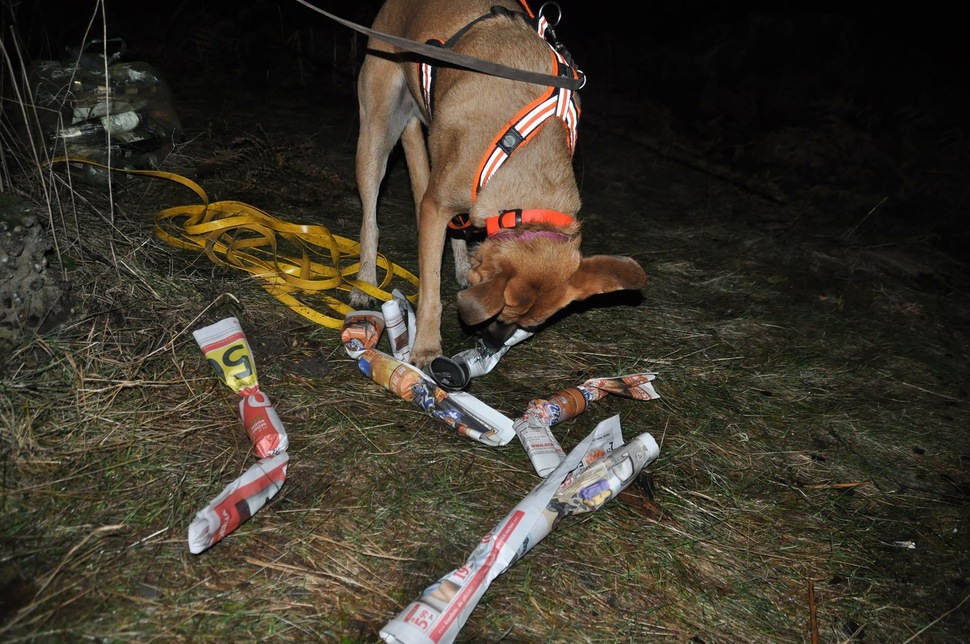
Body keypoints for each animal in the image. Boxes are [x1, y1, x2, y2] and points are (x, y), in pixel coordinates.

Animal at [352, 0, 648, 368]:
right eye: (501, 315)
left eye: (529, 325)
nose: (492, 346)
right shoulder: (435, 206)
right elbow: (431, 291)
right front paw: (426, 348)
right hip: (375, 136)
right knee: (370, 221)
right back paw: (364, 282)